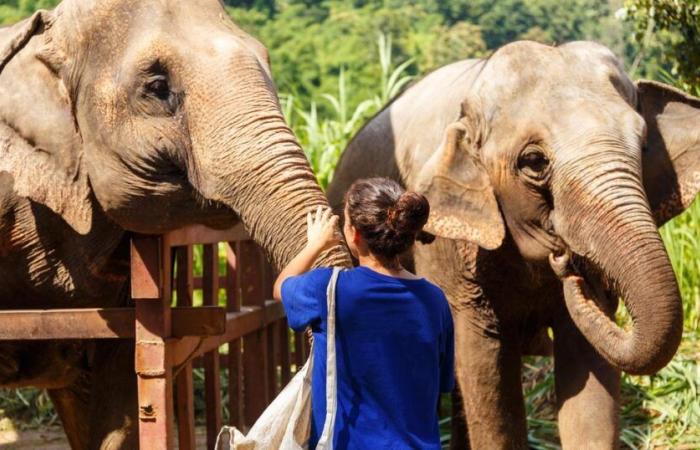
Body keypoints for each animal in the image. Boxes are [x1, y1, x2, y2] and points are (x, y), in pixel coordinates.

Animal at [328, 40, 700, 448]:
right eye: (534, 161)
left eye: (644, 143)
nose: (570, 266)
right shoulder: (449, 252)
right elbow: (485, 369)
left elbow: (589, 374)